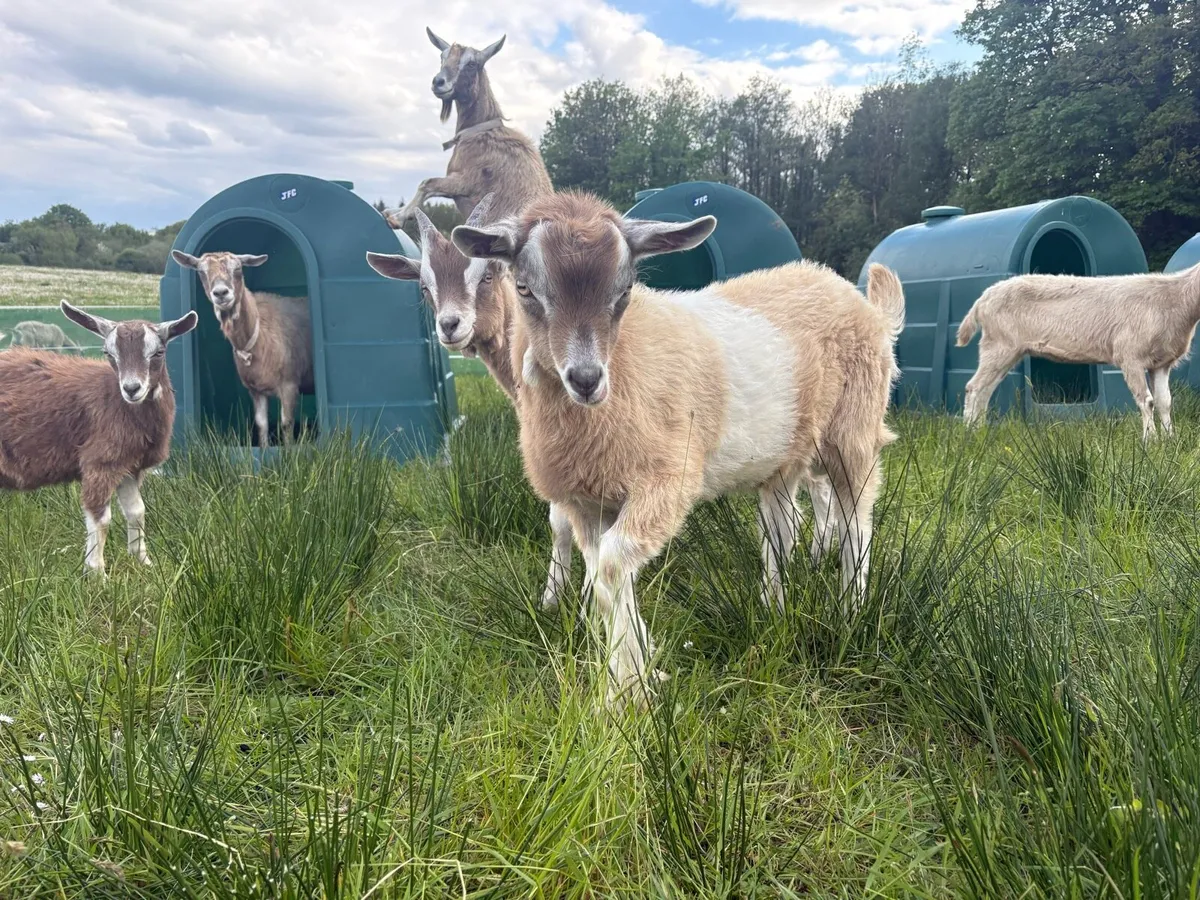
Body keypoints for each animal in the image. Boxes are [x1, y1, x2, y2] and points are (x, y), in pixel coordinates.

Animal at [0, 302, 197, 576]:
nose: (132, 389)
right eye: (108, 353)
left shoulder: (129, 465)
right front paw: (96, 573)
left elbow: (137, 511)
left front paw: (144, 562)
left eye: (159, 352)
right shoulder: (101, 461)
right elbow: (100, 518)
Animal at [171, 250, 314, 448]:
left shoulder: (289, 384)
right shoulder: (256, 390)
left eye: (238, 268)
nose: (221, 293)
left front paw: (289, 450)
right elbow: (261, 424)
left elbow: (287, 423)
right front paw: (264, 449)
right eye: (201, 271)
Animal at [384, 28, 552, 229]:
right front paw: (393, 210)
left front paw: (398, 217)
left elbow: (427, 183)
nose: (438, 82)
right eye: (442, 56)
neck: (478, 129)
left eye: (472, 64)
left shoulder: (466, 181)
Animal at [453, 192, 904, 707]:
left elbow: (611, 568)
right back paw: (773, 608)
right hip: (784, 454)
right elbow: (603, 575)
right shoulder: (585, 500)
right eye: (524, 288)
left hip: (854, 430)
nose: (586, 380)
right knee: (782, 530)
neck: (625, 363)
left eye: (625, 290)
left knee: (857, 524)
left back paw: (851, 611)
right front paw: (642, 665)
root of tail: (858, 300)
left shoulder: (664, 482)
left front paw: (625, 694)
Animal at [957, 263, 1200, 439]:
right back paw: (968, 435)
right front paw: (1150, 441)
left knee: (985, 391)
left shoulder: (1161, 363)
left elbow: (1164, 402)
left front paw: (1170, 441)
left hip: (1006, 350)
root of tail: (982, 300)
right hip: (998, 345)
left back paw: (980, 431)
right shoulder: (1131, 357)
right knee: (973, 387)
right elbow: (1147, 401)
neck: (1174, 299)